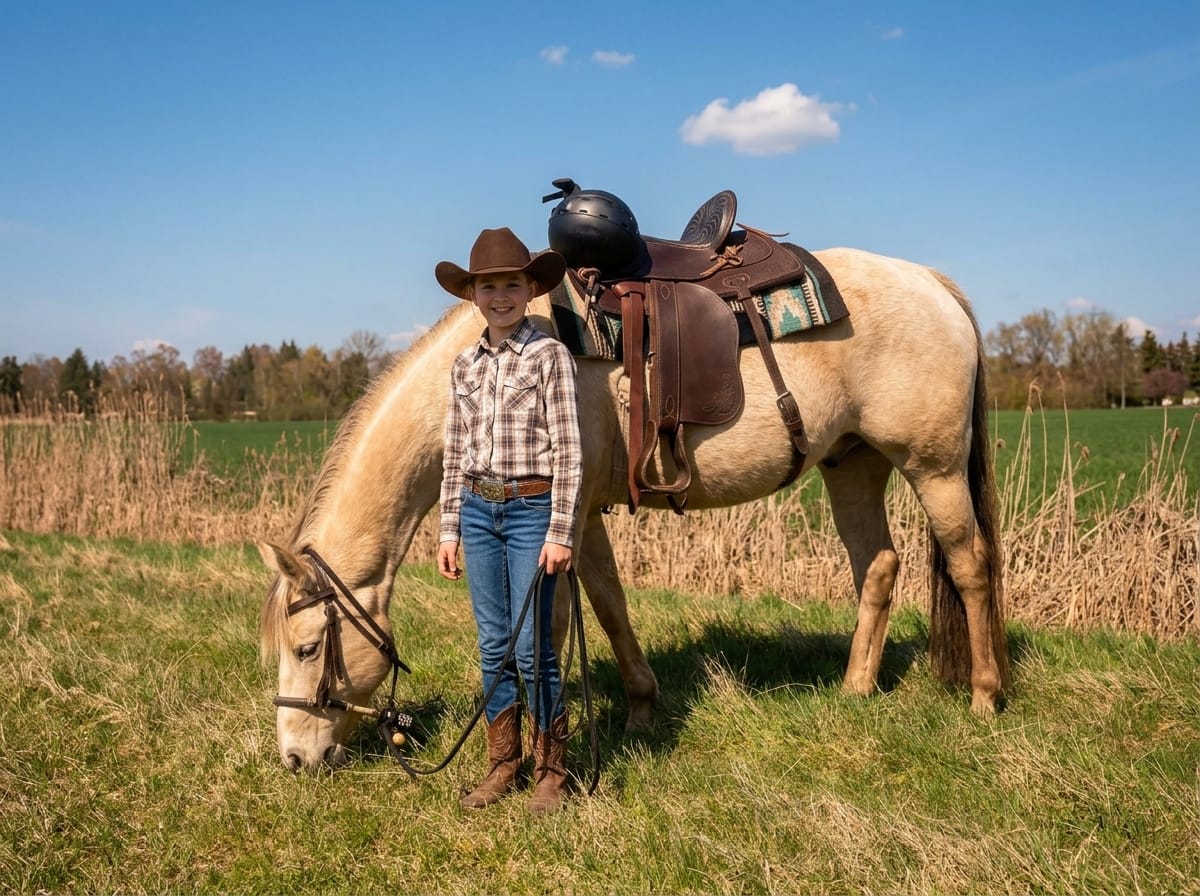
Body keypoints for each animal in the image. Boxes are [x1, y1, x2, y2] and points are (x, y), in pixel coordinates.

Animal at [258, 246, 1011, 773]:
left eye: (307, 648)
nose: (295, 759)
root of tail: (931, 281)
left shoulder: (562, 515)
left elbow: (558, 624)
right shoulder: (583, 516)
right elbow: (610, 607)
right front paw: (641, 709)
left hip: (934, 467)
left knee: (971, 565)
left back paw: (983, 696)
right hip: (853, 464)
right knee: (877, 566)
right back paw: (855, 690)